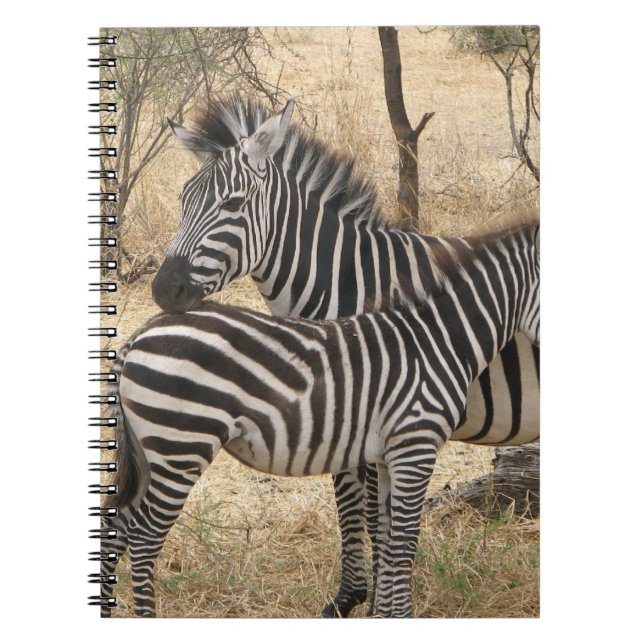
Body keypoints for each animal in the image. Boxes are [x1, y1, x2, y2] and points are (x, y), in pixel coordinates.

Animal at [101, 220, 540, 618]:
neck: (437, 339)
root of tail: (137, 337)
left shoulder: (390, 453)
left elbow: (387, 537)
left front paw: (384, 616)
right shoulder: (415, 444)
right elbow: (402, 542)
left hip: (150, 452)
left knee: (117, 529)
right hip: (181, 445)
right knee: (144, 540)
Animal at [147, 95, 540, 616]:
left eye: (232, 204)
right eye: (182, 200)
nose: (164, 290)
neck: (348, 280)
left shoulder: (369, 410)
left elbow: (368, 511)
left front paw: (369, 601)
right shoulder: (340, 411)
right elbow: (348, 502)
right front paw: (350, 596)